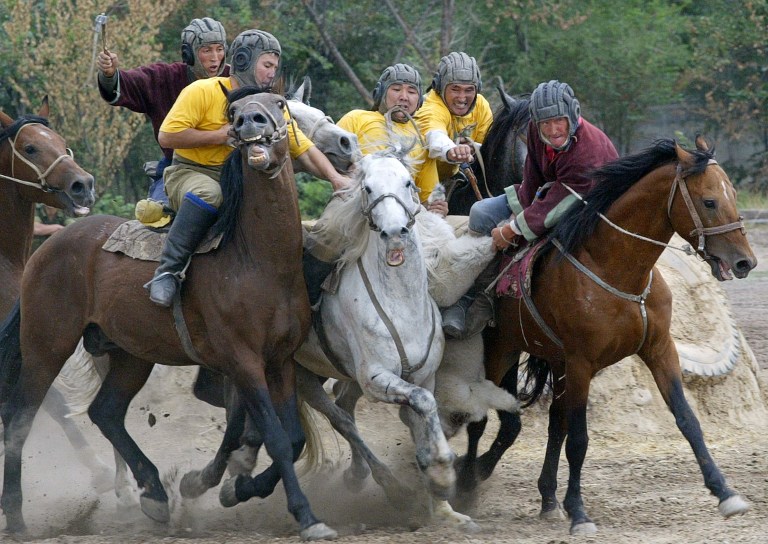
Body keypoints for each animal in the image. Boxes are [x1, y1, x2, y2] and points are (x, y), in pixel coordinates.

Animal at [0, 90, 336, 540]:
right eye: (233, 112)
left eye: (278, 103)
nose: (249, 121)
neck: (257, 262)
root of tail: (46, 250)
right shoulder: (244, 363)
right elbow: (278, 439)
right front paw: (306, 515)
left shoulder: (280, 362)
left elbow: (294, 439)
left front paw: (240, 488)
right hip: (46, 347)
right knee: (21, 419)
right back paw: (17, 515)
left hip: (129, 354)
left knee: (105, 412)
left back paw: (155, 494)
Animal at [480, 137, 756, 536]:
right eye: (709, 201)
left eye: (733, 194)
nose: (745, 262)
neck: (618, 270)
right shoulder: (581, 363)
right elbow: (579, 439)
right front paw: (579, 512)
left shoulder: (660, 350)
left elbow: (688, 421)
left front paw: (725, 493)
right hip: (500, 351)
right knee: (480, 418)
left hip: (554, 363)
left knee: (551, 424)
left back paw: (546, 498)